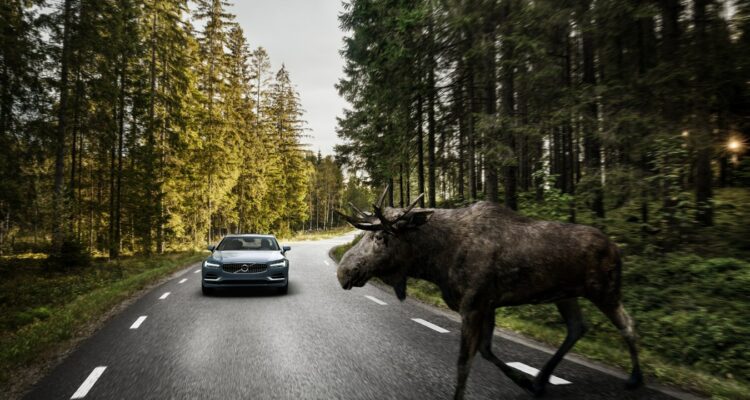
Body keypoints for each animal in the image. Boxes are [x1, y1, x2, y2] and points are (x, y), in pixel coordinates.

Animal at [338, 188, 644, 400]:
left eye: (381, 237)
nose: (343, 271)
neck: (435, 261)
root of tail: (617, 248)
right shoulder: (488, 305)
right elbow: (485, 351)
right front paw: (524, 381)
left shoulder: (474, 305)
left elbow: (464, 362)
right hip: (565, 294)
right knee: (577, 328)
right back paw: (540, 380)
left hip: (603, 289)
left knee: (628, 324)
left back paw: (635, 378)